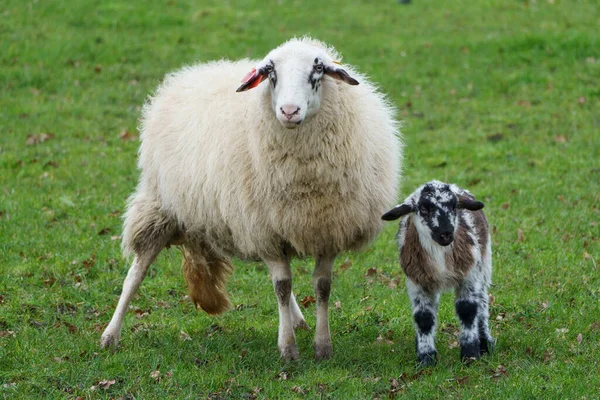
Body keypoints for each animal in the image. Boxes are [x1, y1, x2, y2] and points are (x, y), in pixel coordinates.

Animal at [101, 37, 404, 360]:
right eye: (270, 72)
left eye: (318, 69)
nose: (289, 111)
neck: (304, 175)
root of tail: (188, 74)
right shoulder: (263, 228)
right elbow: (282, 286)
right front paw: (288, 349)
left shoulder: (325, 230)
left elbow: (322, 287)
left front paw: (323, 346)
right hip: (161, 205)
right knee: (136, 272)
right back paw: (110, 335)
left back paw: (297, 320)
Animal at [382, 180, 494, 366]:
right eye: (423, 208)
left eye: (454, 206)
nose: (446, 234)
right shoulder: (417, 282)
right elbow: (424, 317)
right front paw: (426, 358)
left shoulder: (469, 276)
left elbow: (468, 309)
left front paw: (470, 354)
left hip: (484, 264)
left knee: (482, 302)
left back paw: (485, 343)